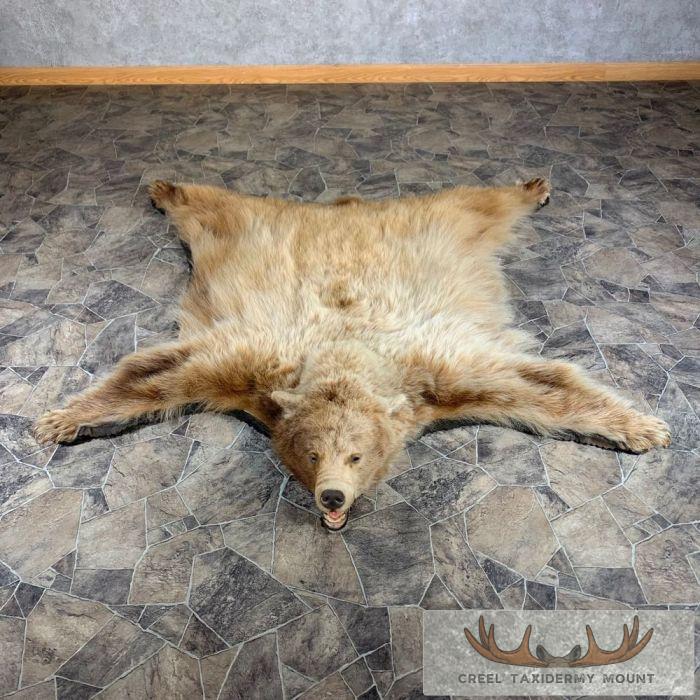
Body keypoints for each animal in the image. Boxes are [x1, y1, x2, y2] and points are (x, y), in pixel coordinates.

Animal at [35, 178, 671, 530]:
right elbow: (157, 376)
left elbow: (541, 387)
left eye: (357, 456)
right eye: (313, 454)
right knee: (211, 206)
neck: (345, 356)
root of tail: (346, 206)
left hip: (444, 224)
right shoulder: (250, 361)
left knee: (480, 203)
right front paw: (64, 418)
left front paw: (642, 427)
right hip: (243, 229)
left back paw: (531, 186)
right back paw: (166, 188)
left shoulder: (438, 370)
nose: (333, 495)